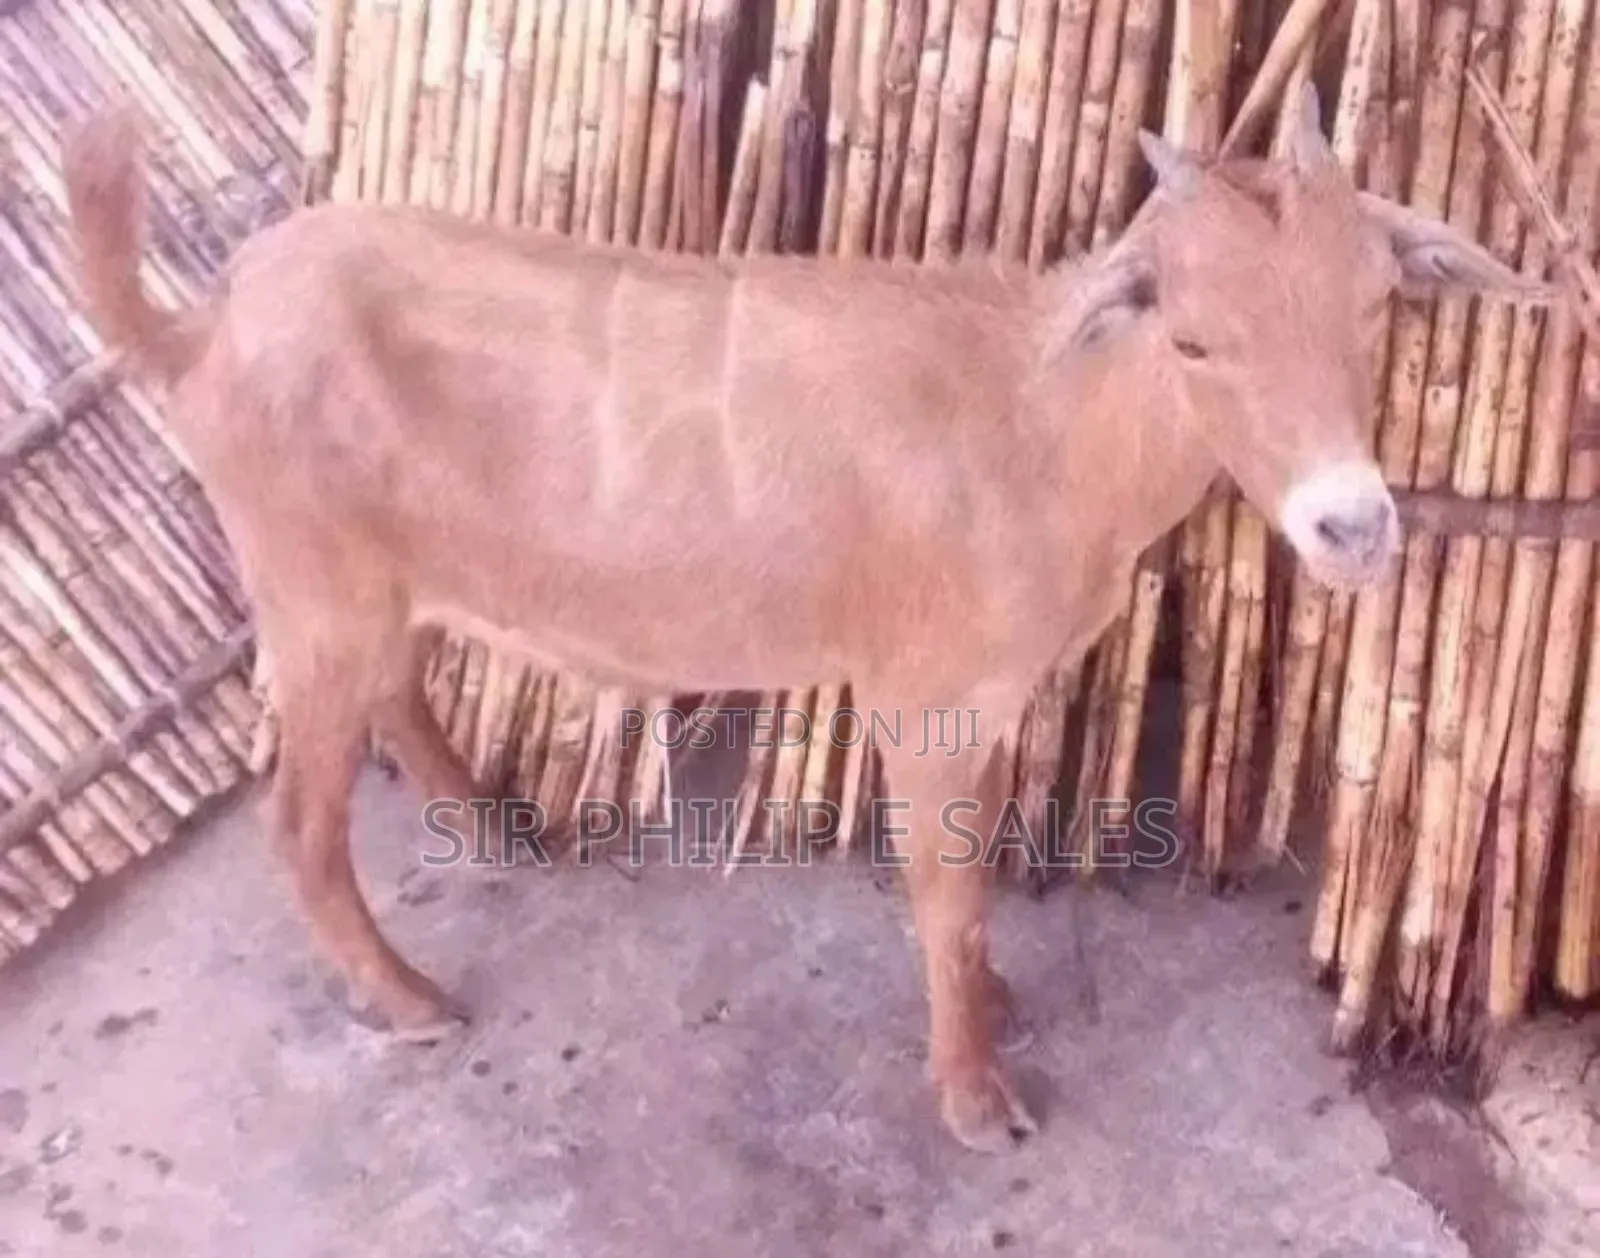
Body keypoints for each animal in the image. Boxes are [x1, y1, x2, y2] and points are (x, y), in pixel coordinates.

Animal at [61, 84, 1547, 1154]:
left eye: (1378, 307)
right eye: (1191, 339)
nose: (1353, 524)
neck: (1034, 425)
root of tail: (201, 328)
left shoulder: (988, 695)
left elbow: (972, 877)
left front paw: (990, 1008)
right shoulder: (924, 695)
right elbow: (942, 890)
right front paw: (972, 1094)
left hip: (373, 584)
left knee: (396, 689)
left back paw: (493, 827)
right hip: (312, 588)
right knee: (301, 822)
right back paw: (412, 999)